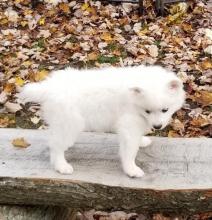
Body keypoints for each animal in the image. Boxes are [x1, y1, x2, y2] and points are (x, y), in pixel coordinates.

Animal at [20, 65, 186, 177]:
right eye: (148, 111)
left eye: (165, 109)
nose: (157, 126)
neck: (133, 99)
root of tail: (48, 88)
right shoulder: (129, 124)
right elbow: (130, 150)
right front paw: (131, 169)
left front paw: (142, 141)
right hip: (70, 122)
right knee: (55, 146)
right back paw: (62, 166)